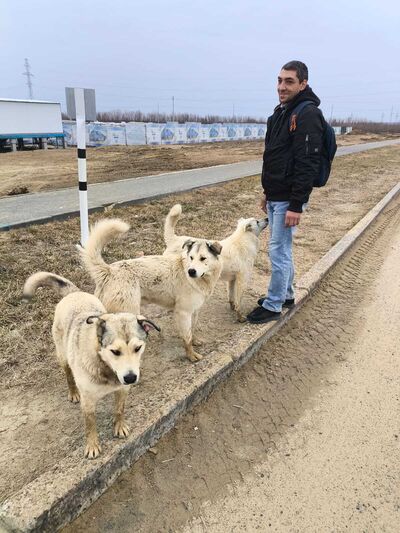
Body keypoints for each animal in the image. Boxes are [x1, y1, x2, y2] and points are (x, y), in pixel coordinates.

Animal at [23, 271, 160, 459]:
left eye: (138, 348)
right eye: (115, 351)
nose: (131, 377)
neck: (105, 366)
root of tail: (74, 293)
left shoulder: (123, 389)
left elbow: (119, 409)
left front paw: (119, 426)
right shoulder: (88, 401)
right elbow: (90, 424)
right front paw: (92, 445)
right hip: (63, 355)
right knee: (68, 374)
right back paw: (73, 392)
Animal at [78, 218, 222, 363]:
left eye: (203, 258)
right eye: (191, 257)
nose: (191, 271)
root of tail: (109, 270)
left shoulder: (194, 311)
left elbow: (193, 329)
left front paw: (196, 341)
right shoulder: (183, 313)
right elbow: (187, 337)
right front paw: (191, 355)